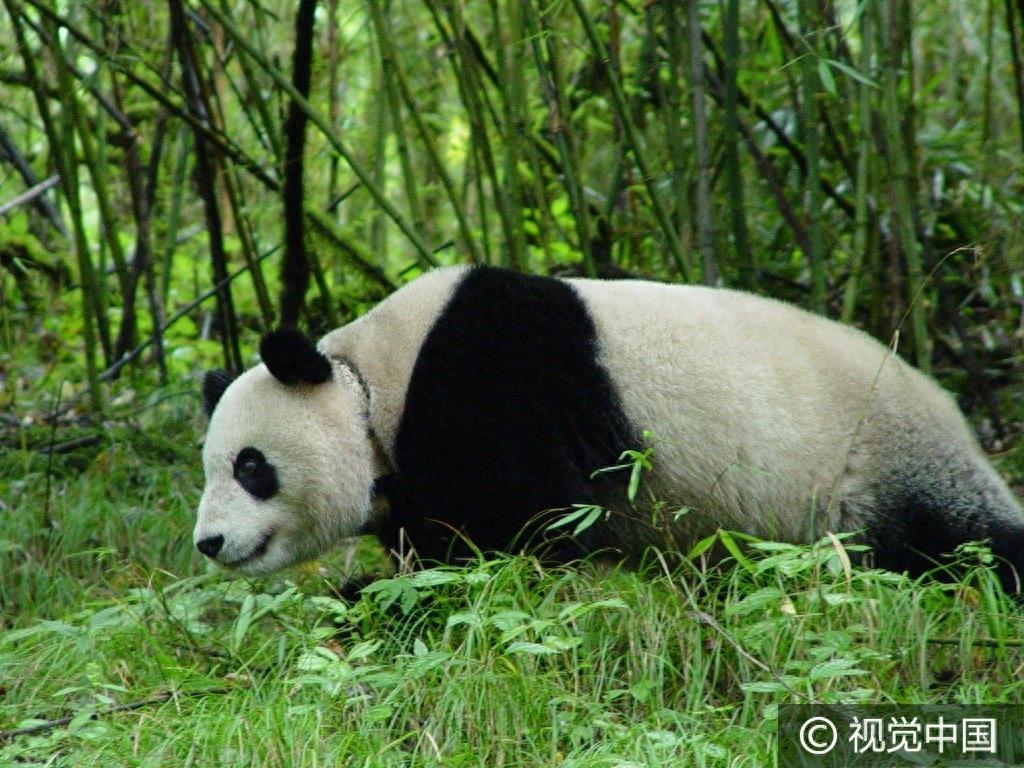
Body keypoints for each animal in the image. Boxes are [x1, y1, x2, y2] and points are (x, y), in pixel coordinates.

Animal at [192, 264, 1024, 589]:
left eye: (250, 466)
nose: (209, 542)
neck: (371, 382)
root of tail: (948, 404)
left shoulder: (493, 392)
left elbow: (526, 533)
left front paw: (367, 597)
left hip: (881, 457)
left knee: (965, 540)